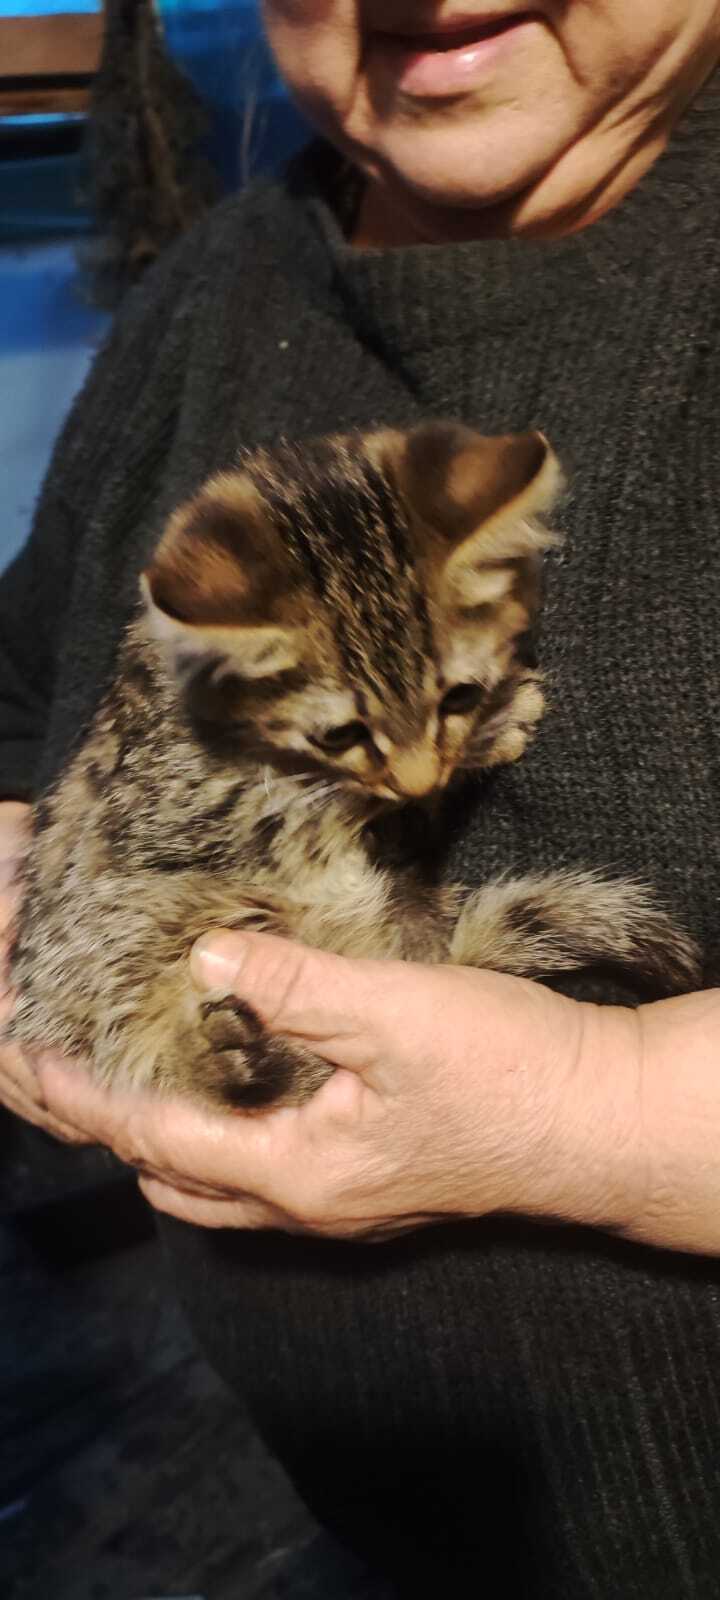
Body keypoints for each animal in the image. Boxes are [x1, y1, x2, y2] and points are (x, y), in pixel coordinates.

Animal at [5, 422, 700, 1113]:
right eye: (340, 734)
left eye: (458, 696)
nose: (421, 777)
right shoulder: (195, 803)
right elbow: (342, 803)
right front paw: (493, 727)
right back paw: (235, 1062)